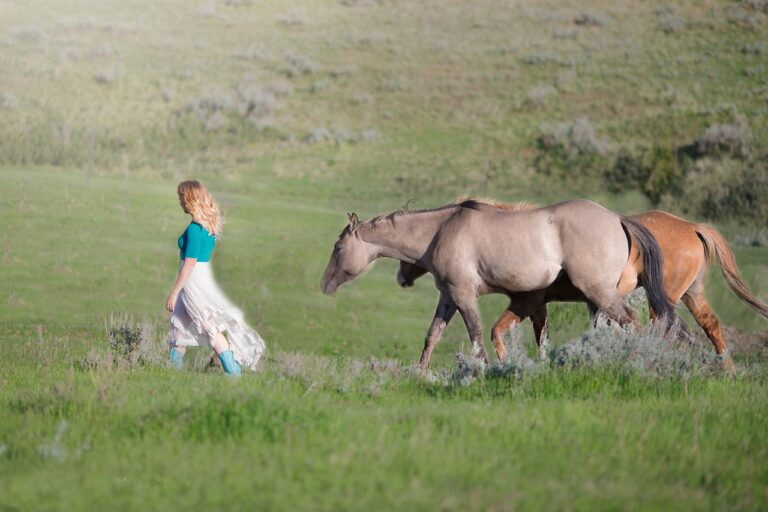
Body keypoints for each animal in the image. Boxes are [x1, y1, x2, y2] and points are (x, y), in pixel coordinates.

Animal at [322, 199, 680, 368]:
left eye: (338, 248)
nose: (325, 285)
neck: (442, 230)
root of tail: (618, 218)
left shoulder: (465, 295)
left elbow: (477, 336)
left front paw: (484, 371)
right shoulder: (449, 297)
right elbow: (432, 337)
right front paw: (420, 373)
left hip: (600, 293)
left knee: (632, 323)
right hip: (596, 299)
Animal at [400, 204, 764, 368]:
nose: (402, 277)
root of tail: (691, 226)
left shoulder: (528, 301)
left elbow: (503, 332)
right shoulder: (538, 305)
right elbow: (538, 337)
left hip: (663, 299)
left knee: (664, 330)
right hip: (690, 294)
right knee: (711, 327)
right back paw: (727, 371)